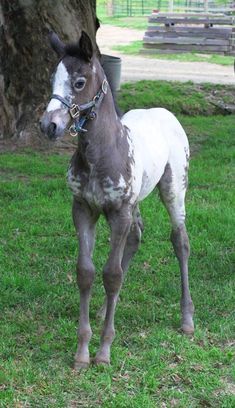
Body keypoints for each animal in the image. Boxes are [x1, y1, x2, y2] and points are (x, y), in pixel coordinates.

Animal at [40, 31, 195, 370]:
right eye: (52, 79)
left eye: (80, 82)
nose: (48, 126)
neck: (102, 153)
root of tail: (164, 112)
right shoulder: (83, 209)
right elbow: (86, 272)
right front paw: (82, 352)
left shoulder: (118, 212)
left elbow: (112, 275)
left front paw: (103, 352)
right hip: (135, 203)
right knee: (136, 236)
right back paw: (102, 310)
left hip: (174, 188)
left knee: (180, 240)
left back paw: (187, 318)